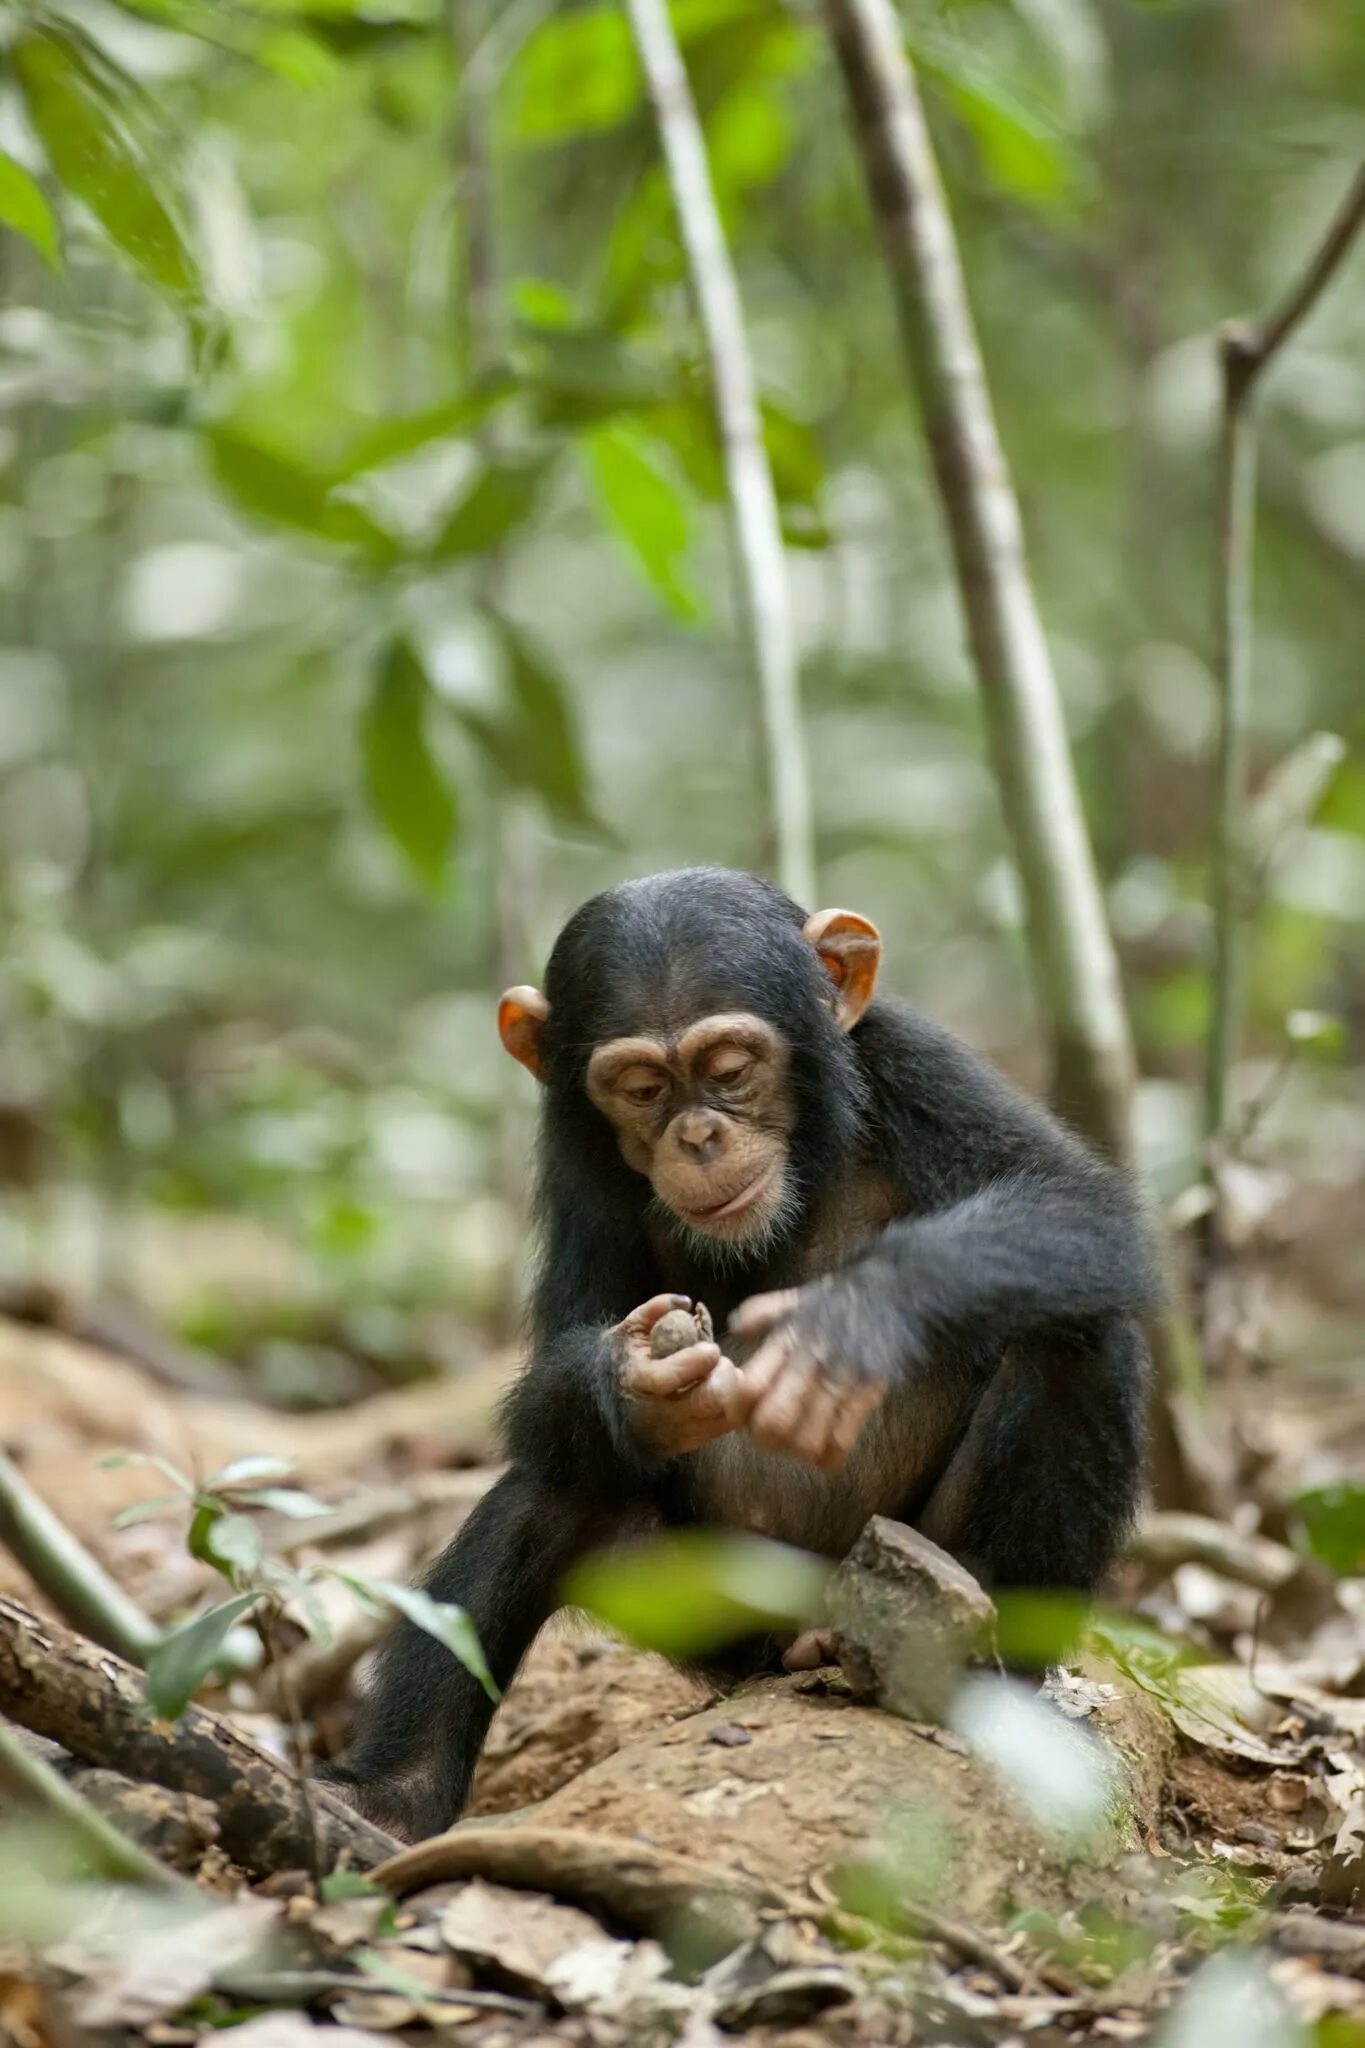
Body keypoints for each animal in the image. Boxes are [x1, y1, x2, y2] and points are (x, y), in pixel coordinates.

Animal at [325, 864, 1162, 1843]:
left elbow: (1073, 1199)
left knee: (1077, 1333)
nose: (698, 1136)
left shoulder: (916, 1064)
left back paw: (984, 1677)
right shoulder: (577, 1168)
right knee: (551, 1488)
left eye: (731, 1070)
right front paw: (638, 1385)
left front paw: (854, 1319)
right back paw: (388, 1798)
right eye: (641, 1088)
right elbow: (551, 1377)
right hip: (713, 1615)